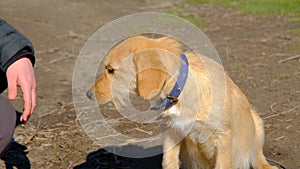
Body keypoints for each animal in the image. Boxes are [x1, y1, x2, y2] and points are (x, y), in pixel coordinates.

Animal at [86, 35, 276, 169]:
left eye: (111, 70)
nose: (87, 94)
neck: (178, 91)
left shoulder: (222, 138)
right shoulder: (173, 131)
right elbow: (168, 162)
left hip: (257, 123)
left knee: (258, 158)